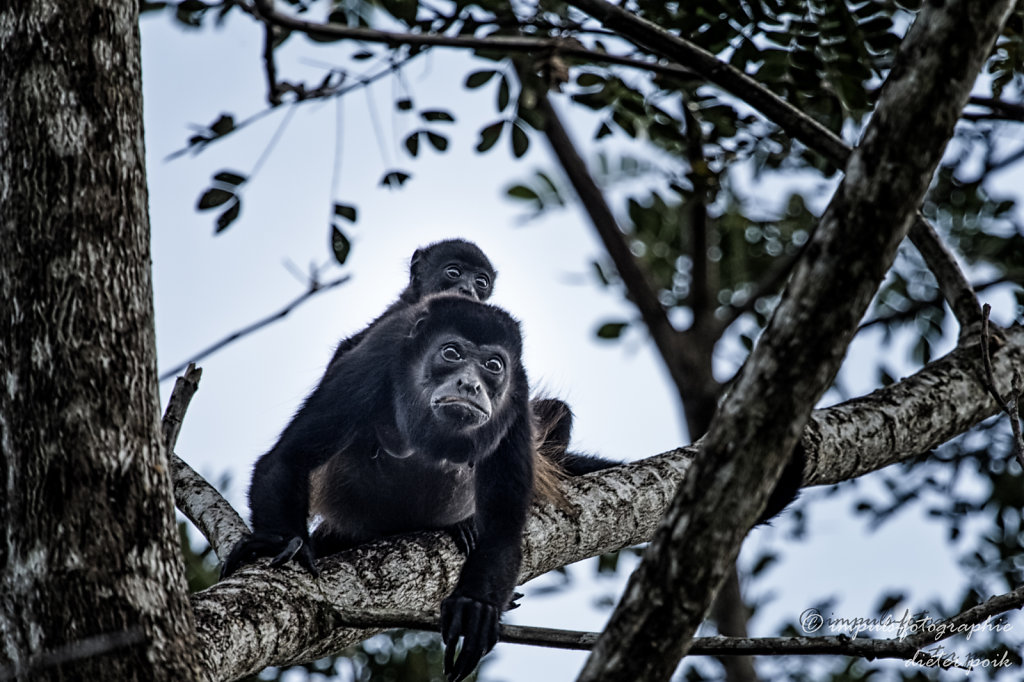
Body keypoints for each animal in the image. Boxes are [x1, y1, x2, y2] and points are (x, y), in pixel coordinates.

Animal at [223, 292, 540, 679]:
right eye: (451, 353)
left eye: (494, 365)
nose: (470, 385)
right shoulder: (376, 359)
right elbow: (287, 458)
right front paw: (280, 541)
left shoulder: (517, 399)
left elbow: (503, 528)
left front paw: (475, 606)